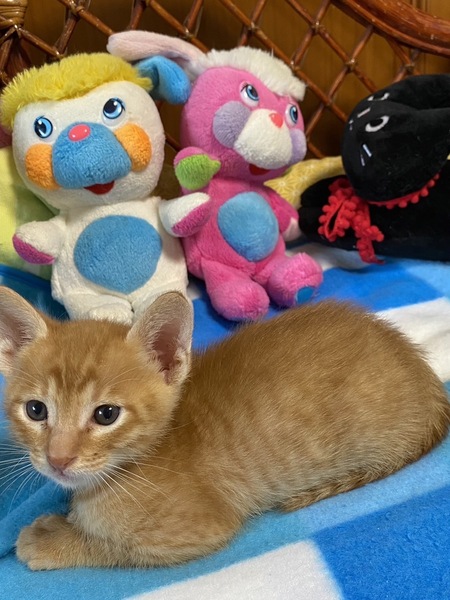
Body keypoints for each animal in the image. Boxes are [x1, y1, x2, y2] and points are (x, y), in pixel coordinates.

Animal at [0, 286, 448, 570]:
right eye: (36, 410)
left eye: (106, 415)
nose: (57, 459)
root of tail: (428, 381)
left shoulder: (199, 529)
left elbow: (116, 547)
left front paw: (53, 538)